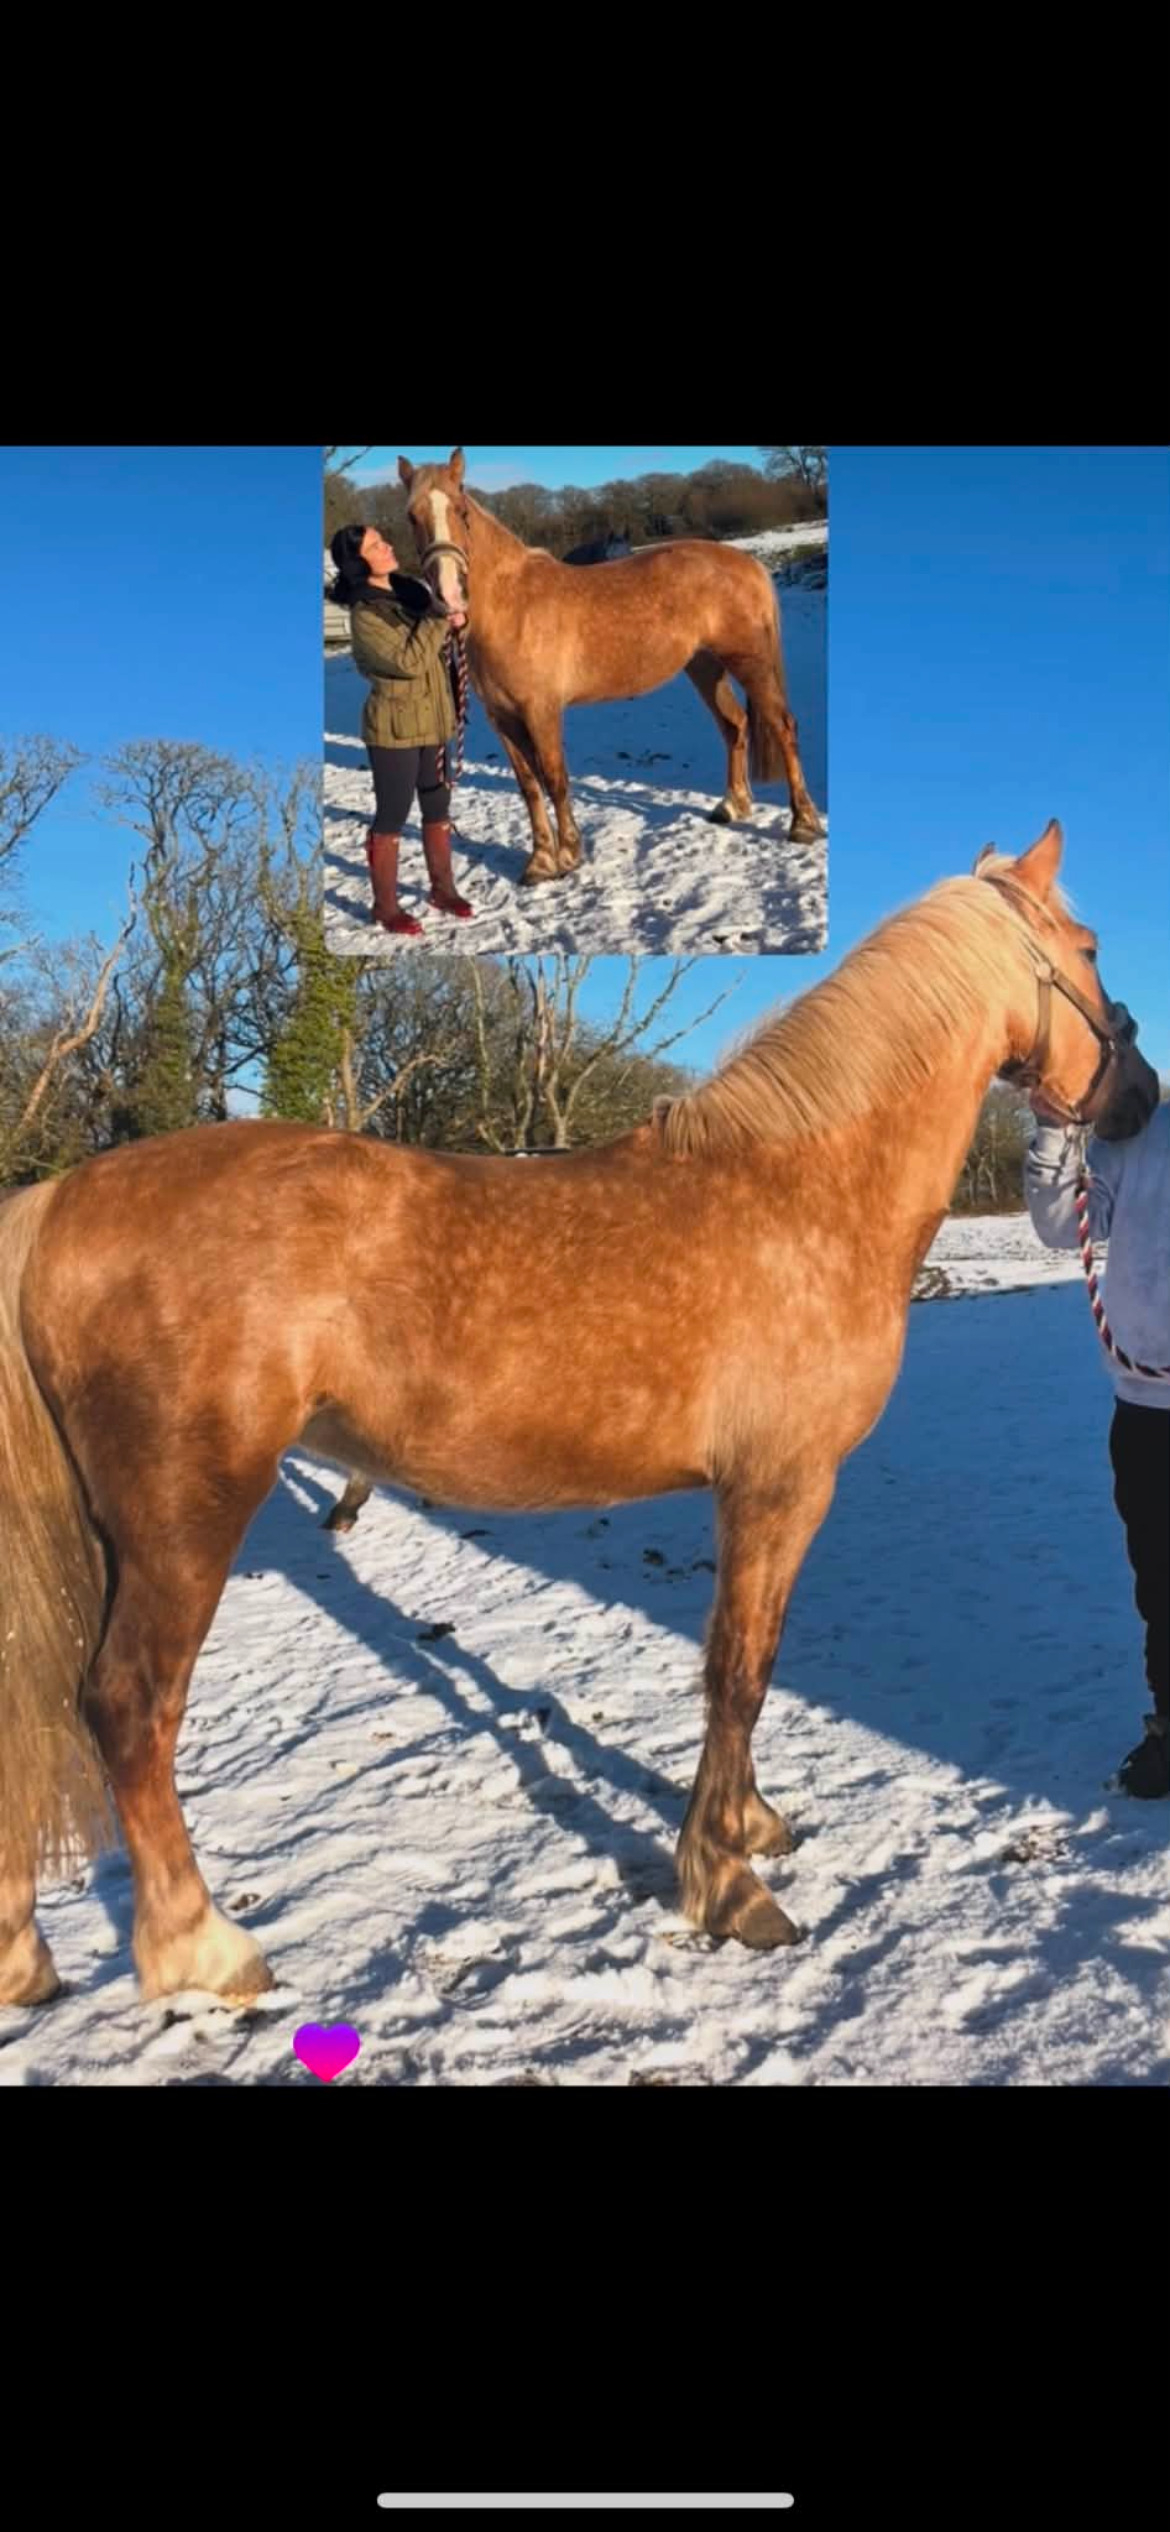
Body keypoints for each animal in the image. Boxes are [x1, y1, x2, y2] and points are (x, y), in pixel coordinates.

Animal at [1, 821, 1156, 2009]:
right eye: (1091, 949)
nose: (1141, 1100)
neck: (805, 1188)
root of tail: (61, 1200)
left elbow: (749, 1666)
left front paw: (750, 1825)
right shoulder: (780, 1487)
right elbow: (739, 1671)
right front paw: (727, 1885)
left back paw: (25, 1955)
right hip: (184, 1524)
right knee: (129, 1706)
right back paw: (205, 1946)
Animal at [398, 448, 823, 885]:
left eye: (461, 508)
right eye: (412, 516)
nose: (449, 595)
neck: (512, 604)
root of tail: (748, 562)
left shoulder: (541, 711)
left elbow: (555, 779)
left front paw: (569, 855)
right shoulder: (502, 717)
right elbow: (529, 786)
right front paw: (539, 863)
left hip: (749, 662)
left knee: (782, 726)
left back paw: (803, 824)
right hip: (704, 666)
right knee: (734, 725)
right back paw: (731, 806)